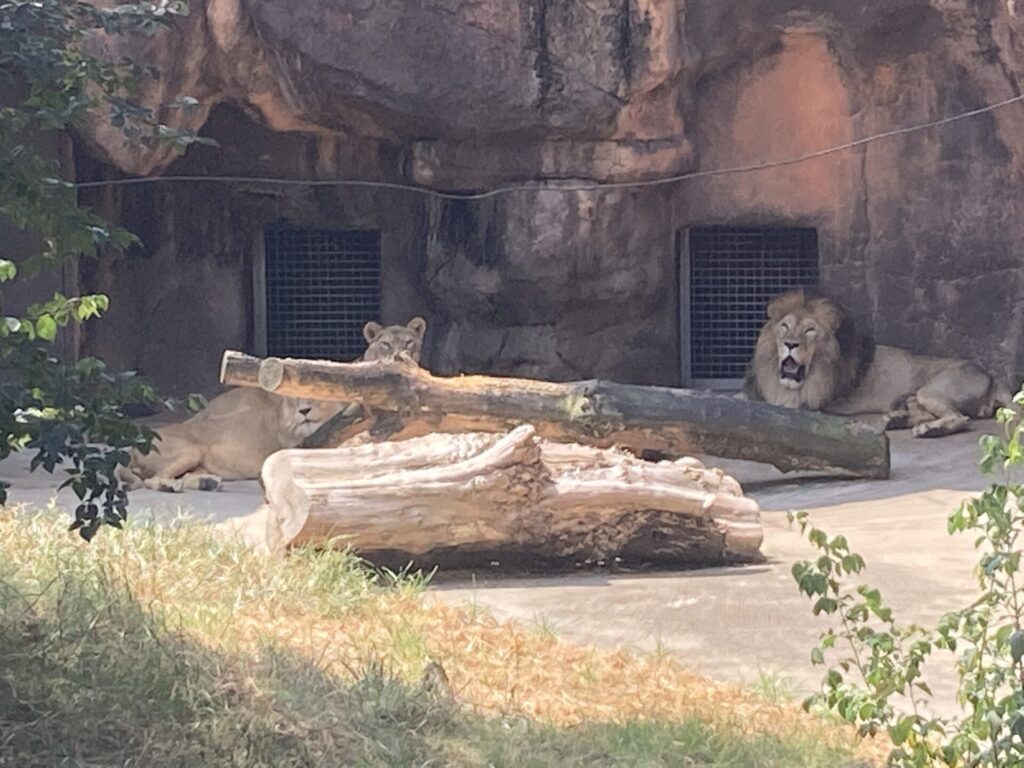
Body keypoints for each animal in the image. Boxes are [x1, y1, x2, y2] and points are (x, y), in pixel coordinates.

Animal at [118, 317, 423, 493]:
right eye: (385, 344)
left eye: (409, 342)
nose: (303, 411)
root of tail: (133, 442)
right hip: (190, 449)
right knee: (150, 480)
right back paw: (170, 486)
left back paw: (206, 483)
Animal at [745, 290, 1007, 438]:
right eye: (785, 326)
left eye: (810, 330)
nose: (790, 343)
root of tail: (991, 377)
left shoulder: (805, 403)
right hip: (914, 396)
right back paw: (896, 420)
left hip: (930, 390)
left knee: (961, 418)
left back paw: (929, 430)